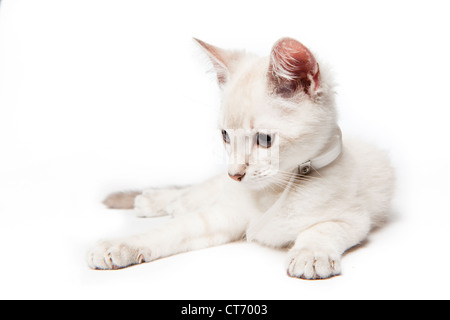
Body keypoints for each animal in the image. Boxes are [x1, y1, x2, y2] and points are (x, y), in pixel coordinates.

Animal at [88, 37, 394, 278]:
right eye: (225, 135)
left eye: (264, 140)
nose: (234, 174)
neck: (274, 191)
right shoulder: (224, 216)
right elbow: (172, 231)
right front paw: (119, 246)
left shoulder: (354, 218)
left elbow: (322, 230)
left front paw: (311, 254)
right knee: (192, 194)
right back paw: (154, 200)